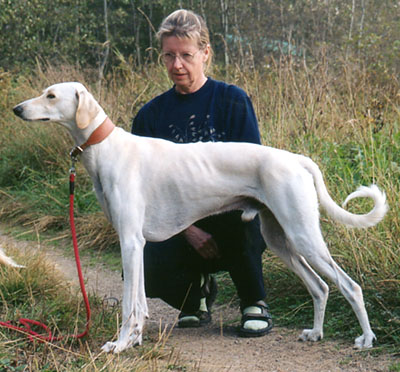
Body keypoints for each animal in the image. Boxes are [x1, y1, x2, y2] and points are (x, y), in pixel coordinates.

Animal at [13, 83, 388, 354]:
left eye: (51, 95)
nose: (17, 109)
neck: (106, 149)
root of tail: (296, 158)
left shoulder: (130, 242)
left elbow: (129, 305)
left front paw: (119, 345)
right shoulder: (136, 245)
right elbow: (140, 302)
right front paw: (134, 341)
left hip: (303, 236)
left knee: (349, 286)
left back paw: (366, 339)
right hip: (282, 239)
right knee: (320, 287)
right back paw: (316, 333)